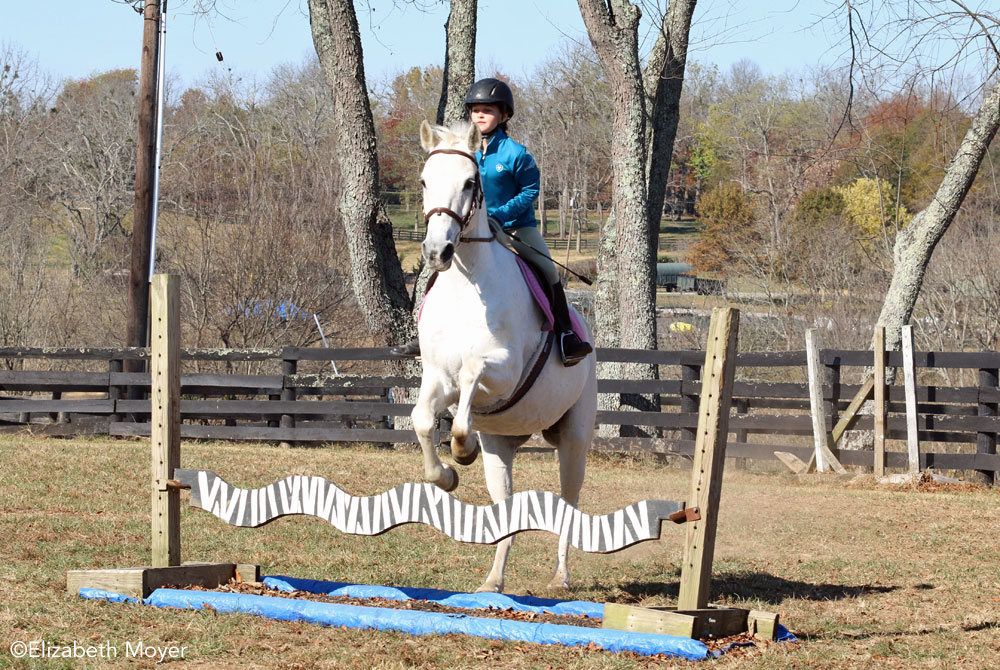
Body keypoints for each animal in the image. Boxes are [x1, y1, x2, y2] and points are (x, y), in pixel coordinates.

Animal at [410, 121, 596, 592]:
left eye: (469, 183)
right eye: (424, 181)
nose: (436, 253)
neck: (466, 285)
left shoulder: (504, 371)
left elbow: (473, 373)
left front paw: (461, 448)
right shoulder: (437, 377)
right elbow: (423, 419)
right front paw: (448, 472)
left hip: (574, 438)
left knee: (569, 503)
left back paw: (560, 578)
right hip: (503, 446)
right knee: (506, 511)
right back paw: (492, 581)